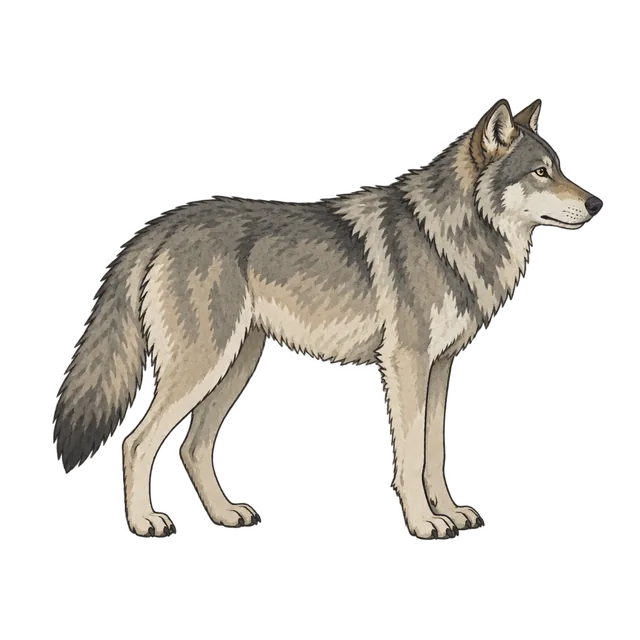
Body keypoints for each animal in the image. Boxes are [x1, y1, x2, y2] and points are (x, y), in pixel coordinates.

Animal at [51, 98, 603, 540]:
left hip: (232, 368)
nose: (597, 202)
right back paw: (146, 522)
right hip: (202, 368)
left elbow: (433, 453)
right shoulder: (405, 365)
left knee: (194, 446)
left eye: (559, 167)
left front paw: (449, 514)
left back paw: (227, 515)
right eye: (540, 172)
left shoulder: (438, 369)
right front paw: (425, 524)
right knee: (136, 443)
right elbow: (410, 456)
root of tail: (161, 224)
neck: (451, 235)